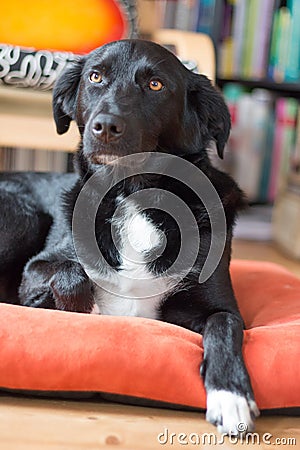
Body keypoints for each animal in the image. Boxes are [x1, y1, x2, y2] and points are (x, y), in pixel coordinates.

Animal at [0, 40, 258, 434]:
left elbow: (225, 325)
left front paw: (231, 395)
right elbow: (70, 274)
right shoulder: (35, 271)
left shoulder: (219, 307)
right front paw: (76, 308)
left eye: (155, 85)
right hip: (23, 217)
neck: (134, 192)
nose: (105, 126)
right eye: (95, 77)